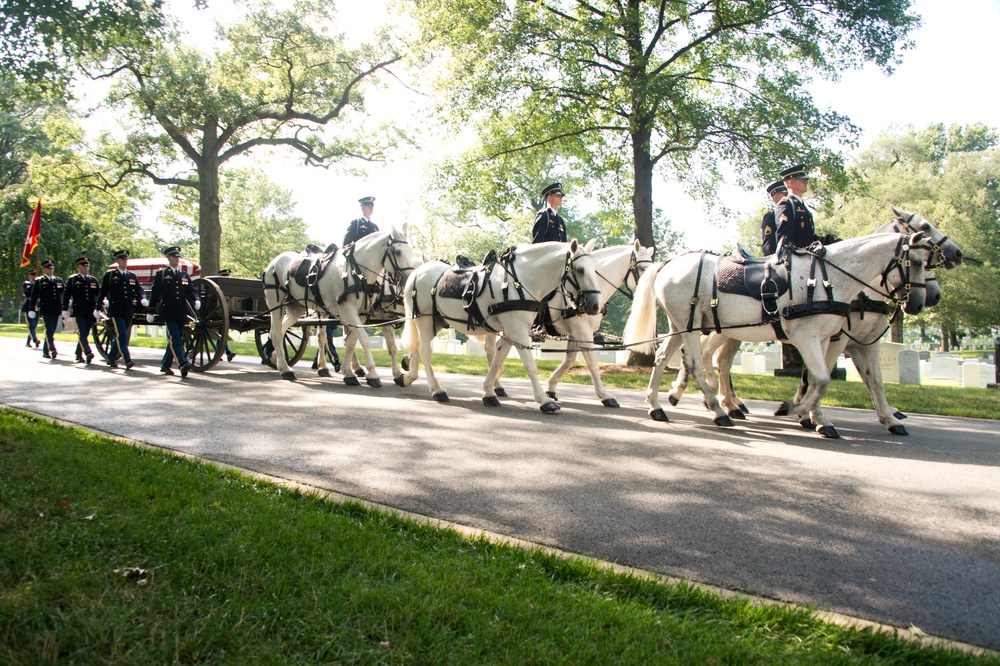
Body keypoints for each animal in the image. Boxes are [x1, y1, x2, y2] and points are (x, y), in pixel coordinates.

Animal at [262, 223, 414, 382]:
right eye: (397, 252)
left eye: (410, 251)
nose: (408, 280)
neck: (357, 271)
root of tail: (274, 261)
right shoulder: (356, 312)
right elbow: (368, 340)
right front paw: (373, 374)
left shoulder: (362, 314)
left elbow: (353, 341)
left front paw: (349, 372)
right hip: (275, 304)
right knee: (278, 333)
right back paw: (287, 369)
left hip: (297, 307)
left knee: (283, 331)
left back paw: (281, 361)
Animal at [400, 239, 600, 410]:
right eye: (580, 269)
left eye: (594, 270)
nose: (595, 305)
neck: (518, 281)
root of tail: (417, 272)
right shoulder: (517, 329)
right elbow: (529, 365)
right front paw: (544, 400)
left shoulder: (511, 330)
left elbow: (497, 360)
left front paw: (489, 392)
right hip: (424, 320)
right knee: (425, 351)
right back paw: (436, 390)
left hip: (437, 321)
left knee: (417, 348)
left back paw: (408, 377)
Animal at [620, 231, 932, 438]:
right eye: (917, 262)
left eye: (928, 260)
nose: (920, 302)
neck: (827, 278)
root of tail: (668, 265)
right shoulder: (814, 338)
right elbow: (822, 379)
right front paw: (796, 410)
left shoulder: (832, 339)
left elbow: (844, 380)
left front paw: (818, 415)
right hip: (694, 324)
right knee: (698, 361)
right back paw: (719, 410)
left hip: (682, 325)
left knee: (666, 357)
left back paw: (659, 404)